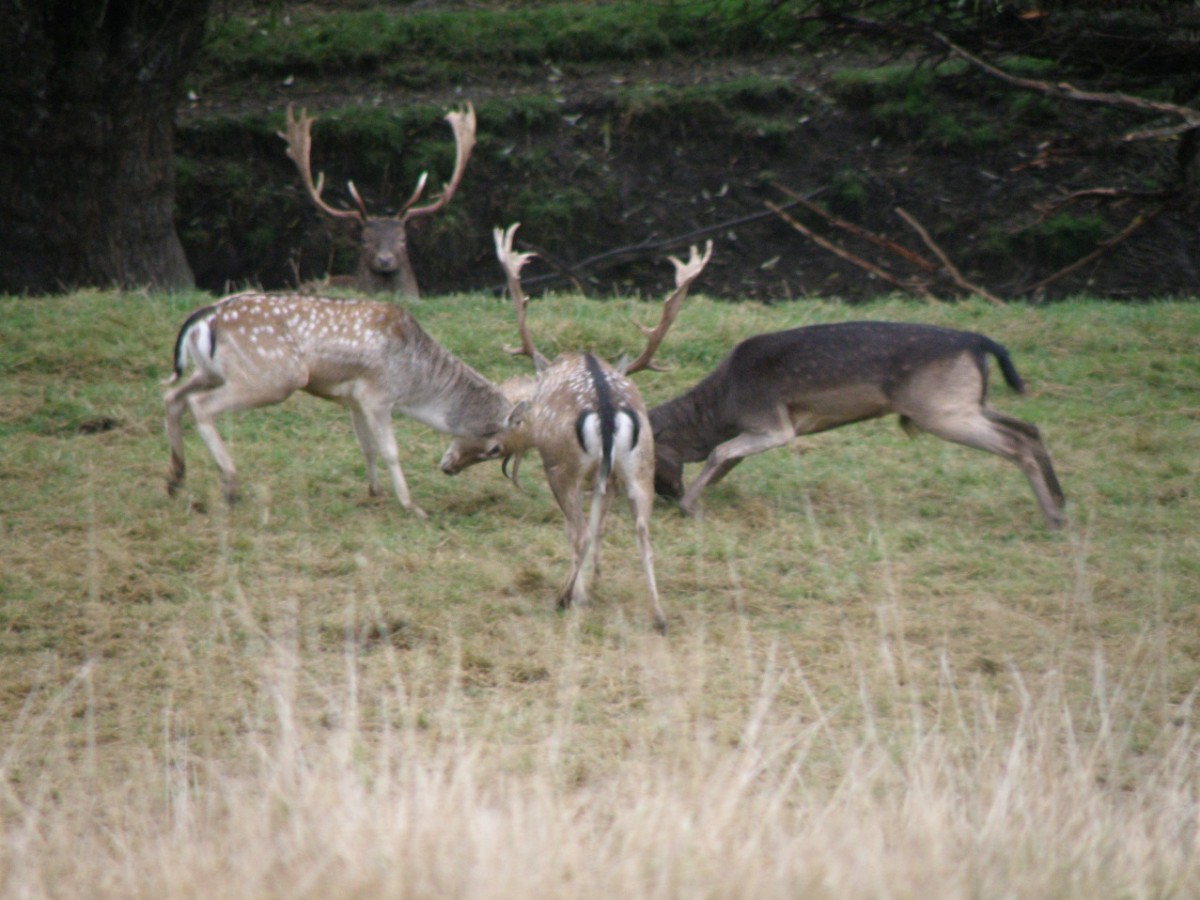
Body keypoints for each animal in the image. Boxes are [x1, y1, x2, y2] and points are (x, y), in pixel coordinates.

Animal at [162, 291, 525, 519]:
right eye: (495, 449)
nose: (449, 469)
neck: (415, 382)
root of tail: (203, 319)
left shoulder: (353, 398)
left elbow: (366, 447)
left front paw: (375, 492)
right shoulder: (378, 394)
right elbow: (390, 450)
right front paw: (413, 507)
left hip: (210, 371)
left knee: (172, 397)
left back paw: (175, 479)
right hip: (274, 375)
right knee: (199, 404)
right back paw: (228, 484)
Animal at [439, 225, 714, 632]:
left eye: (492, 443)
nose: (447, 462)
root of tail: (606, 408)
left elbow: (583, 529)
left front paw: (580, 592)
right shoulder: (609, 479)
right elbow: (602, 523)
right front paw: (595, 580)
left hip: (564, 467)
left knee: (578, 530)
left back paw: (560, 597)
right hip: (640, 464)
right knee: (642, 530)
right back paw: (659, 616)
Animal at [648, 320, 1066, 529]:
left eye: (646, 458)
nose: (663, 498)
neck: (722, 408)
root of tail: (980, 343)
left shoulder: (774, 422)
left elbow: (720, 453)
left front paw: (690, 507)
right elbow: (727, 461)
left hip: (942, 410)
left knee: (1015, 443)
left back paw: (1053, 517)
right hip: (972, 401)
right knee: (1030, 428)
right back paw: (1061, 503)